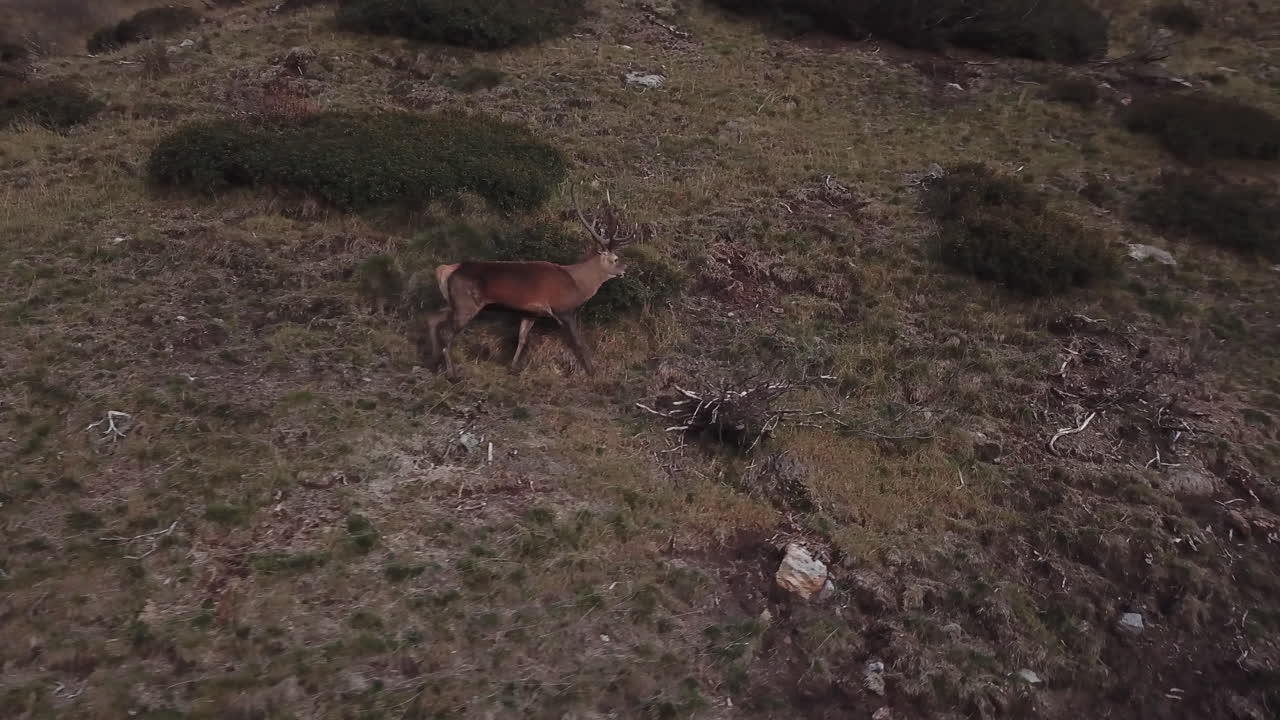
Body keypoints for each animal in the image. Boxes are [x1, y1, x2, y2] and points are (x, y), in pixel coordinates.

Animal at [421, 188, 640, 379]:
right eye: (615, 259)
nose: (624, 270)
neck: (577, 284)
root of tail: (446, 270)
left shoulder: (531, 312)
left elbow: (522, 339)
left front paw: (513, 367)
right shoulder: (563, 309)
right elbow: (579, 342)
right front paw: (592, 371)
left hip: (455, 302)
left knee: (431, 317)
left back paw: (432, 361)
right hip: (466, 304)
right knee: (447, 334)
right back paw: (451, 373)